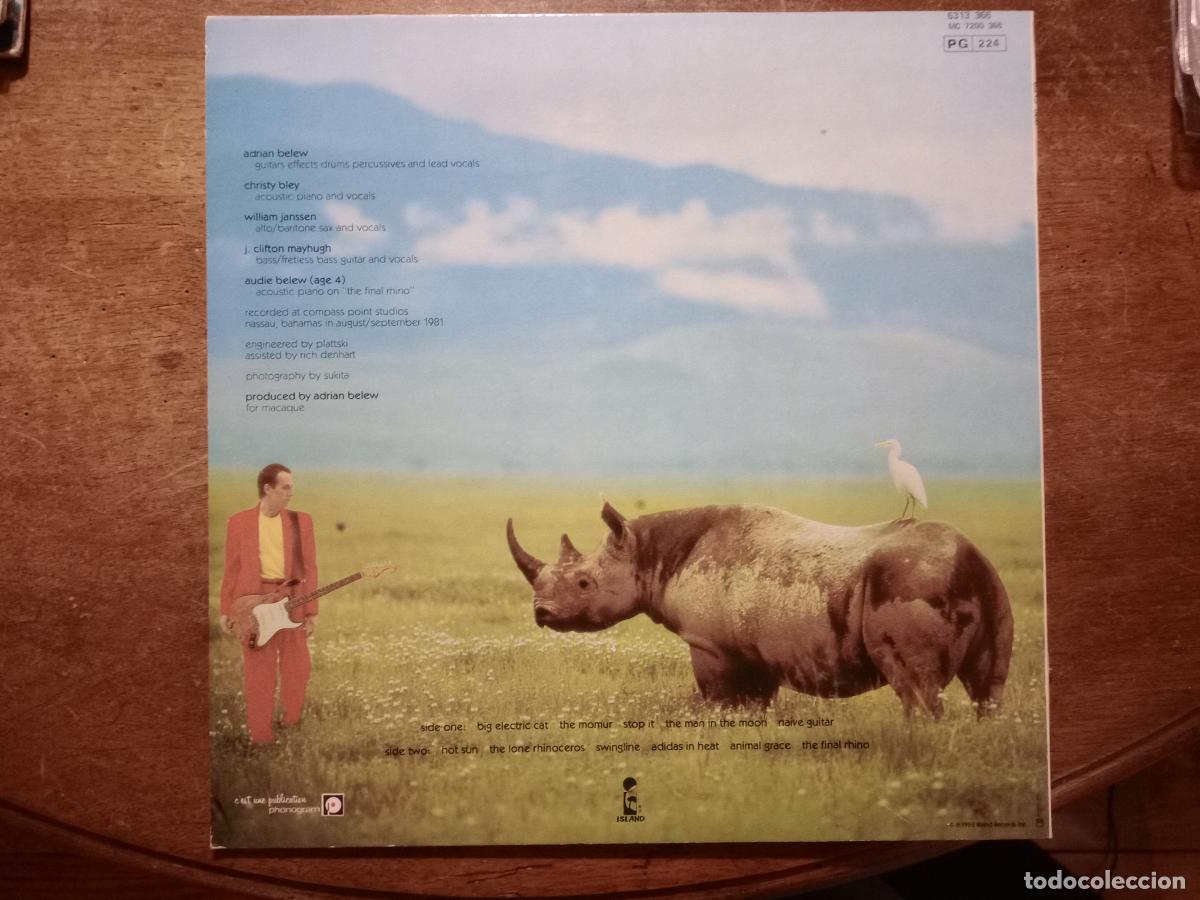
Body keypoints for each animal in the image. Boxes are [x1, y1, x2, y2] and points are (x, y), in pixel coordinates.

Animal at [506, 502, 1013, 717]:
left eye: (584, 583)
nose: (542, 614)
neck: (648, 554)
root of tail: (971, 557)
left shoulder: (710, 645)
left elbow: (720, 700)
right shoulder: (753, 648)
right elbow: (758, 703)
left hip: (912, 580)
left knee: (917, 687)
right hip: (987, 589)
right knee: (987, 689)